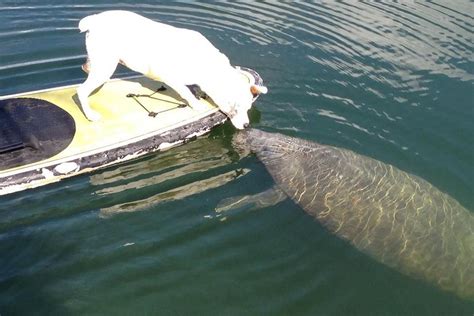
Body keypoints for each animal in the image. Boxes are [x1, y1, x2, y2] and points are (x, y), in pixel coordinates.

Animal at [76, 10, 264, 128]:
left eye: (248, 108)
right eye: (236, 109)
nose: (247, 125)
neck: (211, 68)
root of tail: (94, 19)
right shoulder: (172, 78)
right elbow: (186, 92)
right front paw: (196, 104)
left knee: (88, 68)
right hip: (106, 65)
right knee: (81, 90)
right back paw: (90, 114)